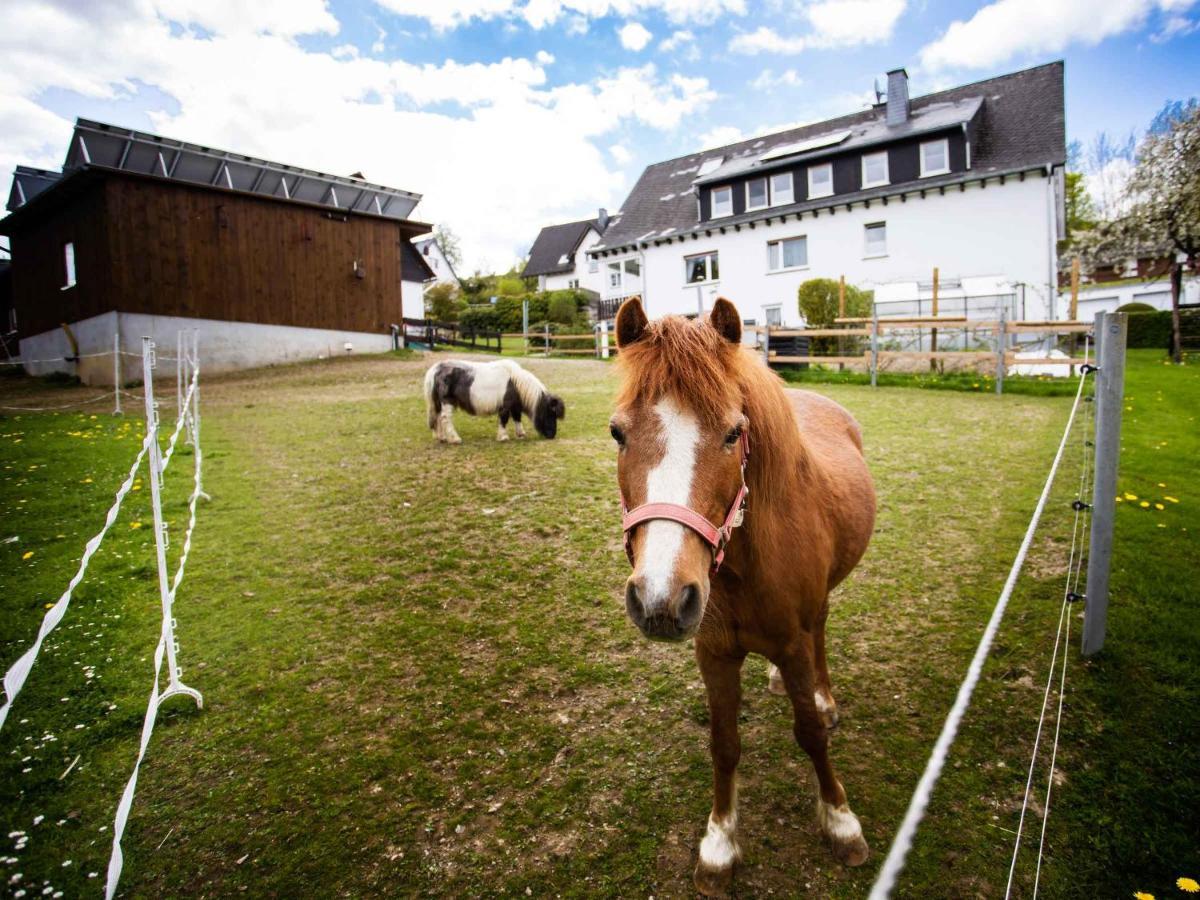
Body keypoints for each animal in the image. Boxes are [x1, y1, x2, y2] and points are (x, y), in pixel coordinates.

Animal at [422, 360, 566, 444]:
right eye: (551, 413)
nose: (552, 435)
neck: (515, 382)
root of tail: (436, 369)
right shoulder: (505, 406)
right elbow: (504, 419)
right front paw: (503, 437)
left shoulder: (515, 405)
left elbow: (517, 418)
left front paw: (521, 434)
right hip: (447, 401)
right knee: (445, 418)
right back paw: (455, 439)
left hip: (438, 403)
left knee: (437, 418)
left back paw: (442, 437)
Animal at [614, 296, 878, 897]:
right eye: (617, 433)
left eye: (734, 433)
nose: (661, 597)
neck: (742, 569)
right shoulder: (713, 654)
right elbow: (725, 744)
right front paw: (718, 844)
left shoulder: (794, 642)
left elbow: (810, 735)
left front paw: (841, 822)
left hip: (816, 613)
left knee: (821, 631)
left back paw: (824, 698)